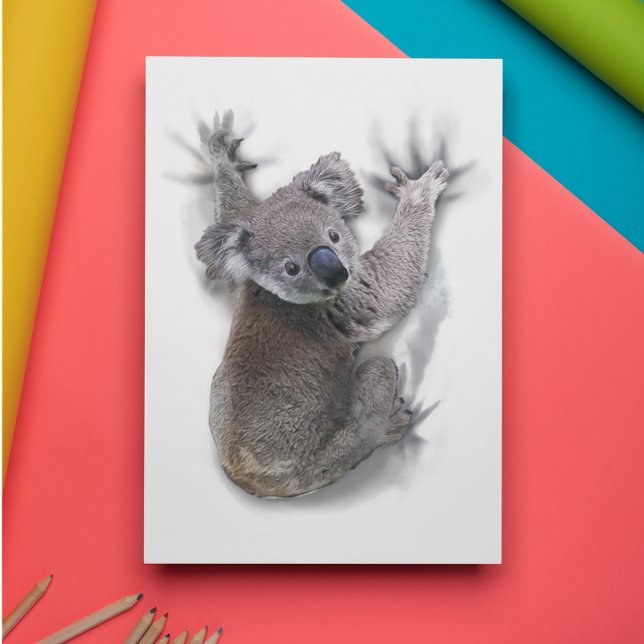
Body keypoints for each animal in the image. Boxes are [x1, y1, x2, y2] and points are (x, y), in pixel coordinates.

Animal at [195, 111, 448, 498]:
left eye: (334, 235)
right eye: (291, 268)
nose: (335, 272)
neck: (271, 295)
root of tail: (245, 480)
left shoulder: (242, 257)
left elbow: (233, 207)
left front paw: (221, 153)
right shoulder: (344, 305)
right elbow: (389, 287)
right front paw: (419, 191)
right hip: (325, 453)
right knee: (371, 393)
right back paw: (388, 423)